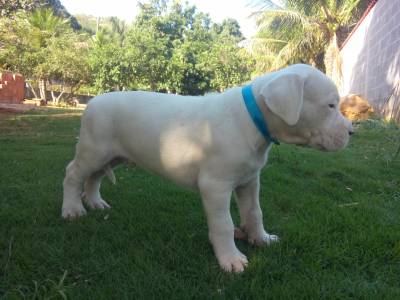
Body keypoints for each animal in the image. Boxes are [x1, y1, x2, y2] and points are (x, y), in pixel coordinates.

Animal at [61, 64, 354, 274]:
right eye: (330, 105)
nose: (353, 131)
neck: (252, 120)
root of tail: (92, 101)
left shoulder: (250, 180)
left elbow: (254, 212)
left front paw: (261, 238)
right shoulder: (216, 186)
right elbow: (224, 224)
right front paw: (231, 259)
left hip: (113, 155)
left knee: (95, 177)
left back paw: (95, 202)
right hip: (94, 149)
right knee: (73, 174)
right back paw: (72, 209)